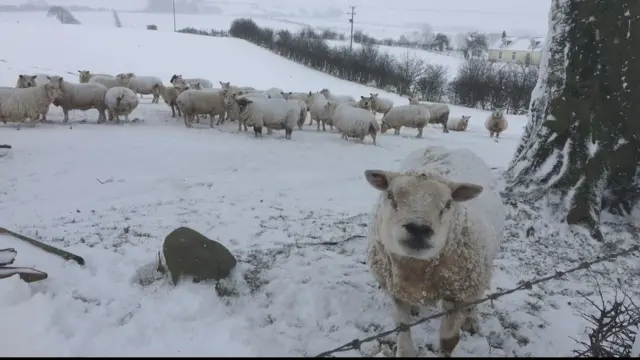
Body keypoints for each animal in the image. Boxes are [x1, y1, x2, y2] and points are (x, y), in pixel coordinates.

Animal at [364, 146, 504, 358]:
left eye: (447, 204)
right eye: (390, 195)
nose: (418, 228)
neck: (415, 270)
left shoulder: (458, 298)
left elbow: (448, 340)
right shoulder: (395, 291)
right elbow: (402, 328)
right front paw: (405, 349)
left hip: (479, 274)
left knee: (475, 300)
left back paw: (471, 320)